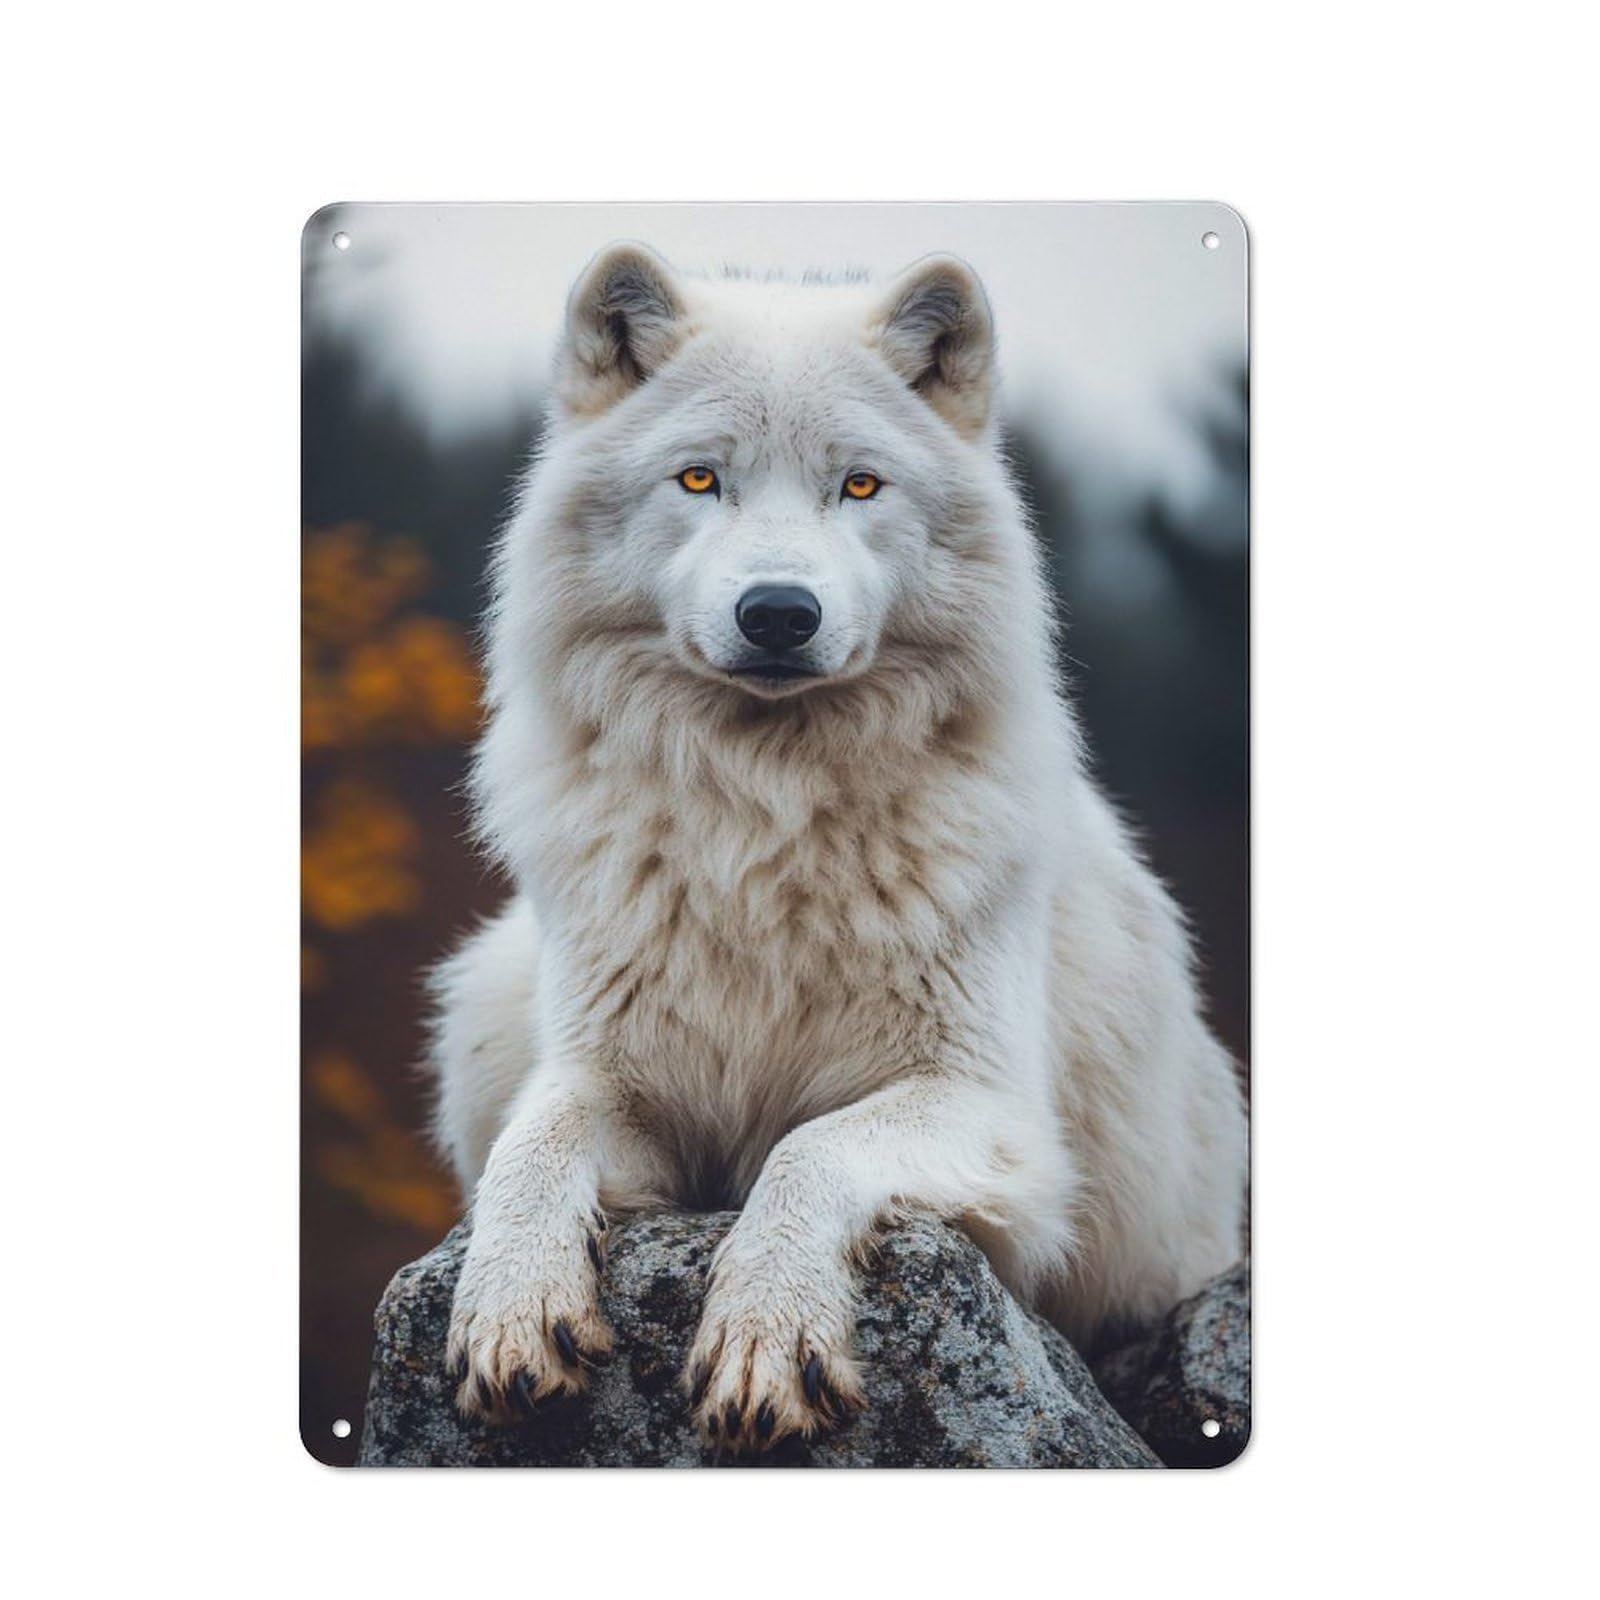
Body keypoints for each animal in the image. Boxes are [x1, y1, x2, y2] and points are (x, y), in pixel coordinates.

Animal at [429, 242, 1246, 1450]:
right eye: (699, 481)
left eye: (858, 486)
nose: (779, 612)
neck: (765, 819)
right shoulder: (614, 1079)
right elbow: (530, 1147)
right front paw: (511, 1309)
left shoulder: (989, 1109)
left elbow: (805, 1152)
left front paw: (768, 1337)